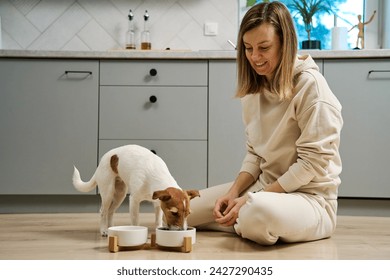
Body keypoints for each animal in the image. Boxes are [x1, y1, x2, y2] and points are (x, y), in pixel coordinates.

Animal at [72, 144, 200, 236]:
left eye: (188, 213)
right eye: (174, 213)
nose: (183, 231)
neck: (155, 174)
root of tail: (103, 159)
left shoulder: (157, 204)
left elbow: (157, 220)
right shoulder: (134, 201)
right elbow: (135, 221)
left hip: (120, 194)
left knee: (110, 211)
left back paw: (111, 227)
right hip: (108, 192)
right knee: (103, 211)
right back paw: (104, 230)